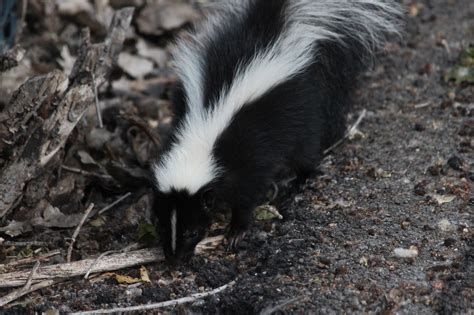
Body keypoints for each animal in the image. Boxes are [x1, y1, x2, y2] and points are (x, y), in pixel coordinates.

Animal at [151, 0, 400, 264]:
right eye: (162, 226)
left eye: (193, 231)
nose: (174, 260)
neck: (202, 135)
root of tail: (270, 30)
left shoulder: (248, 156)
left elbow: (246, 196)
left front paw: (236, 232)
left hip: (299, 109)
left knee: (307, 149)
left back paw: (301, 180)